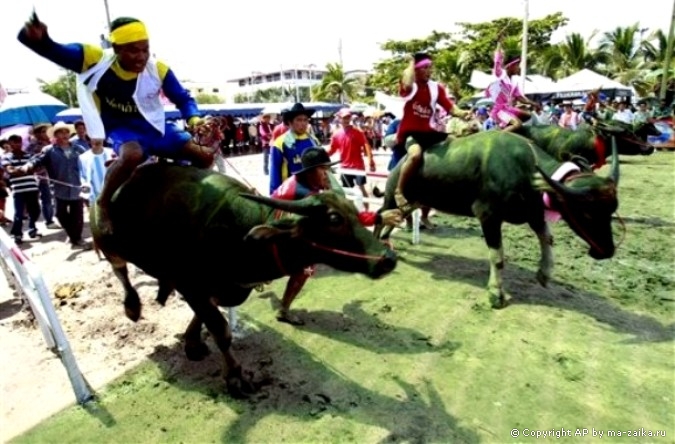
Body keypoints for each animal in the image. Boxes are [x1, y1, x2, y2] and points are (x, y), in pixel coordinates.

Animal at [90, 162, 396, 396]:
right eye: (334, 219)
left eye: (355, 212)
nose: (388, 258)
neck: (241, 236)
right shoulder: (192, 286)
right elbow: (221, 329)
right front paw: (235, 376)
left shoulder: (224, 288)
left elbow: (206, 317)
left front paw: (193, 343)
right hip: (106, 240)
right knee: (120, 270)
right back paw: (132, 306)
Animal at [372, 130, 620, 306]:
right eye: (586, 211)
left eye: (611, 210)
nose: (607, 251)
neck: (525, 168)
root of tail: (401, 161)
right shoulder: (488, 216)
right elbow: (498, 256)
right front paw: (495, 293)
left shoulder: (534, 213)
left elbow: (547, 239)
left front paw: (545, 273)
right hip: (391, 198)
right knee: (378, 217)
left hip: (413, 202)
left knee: (392, 220)